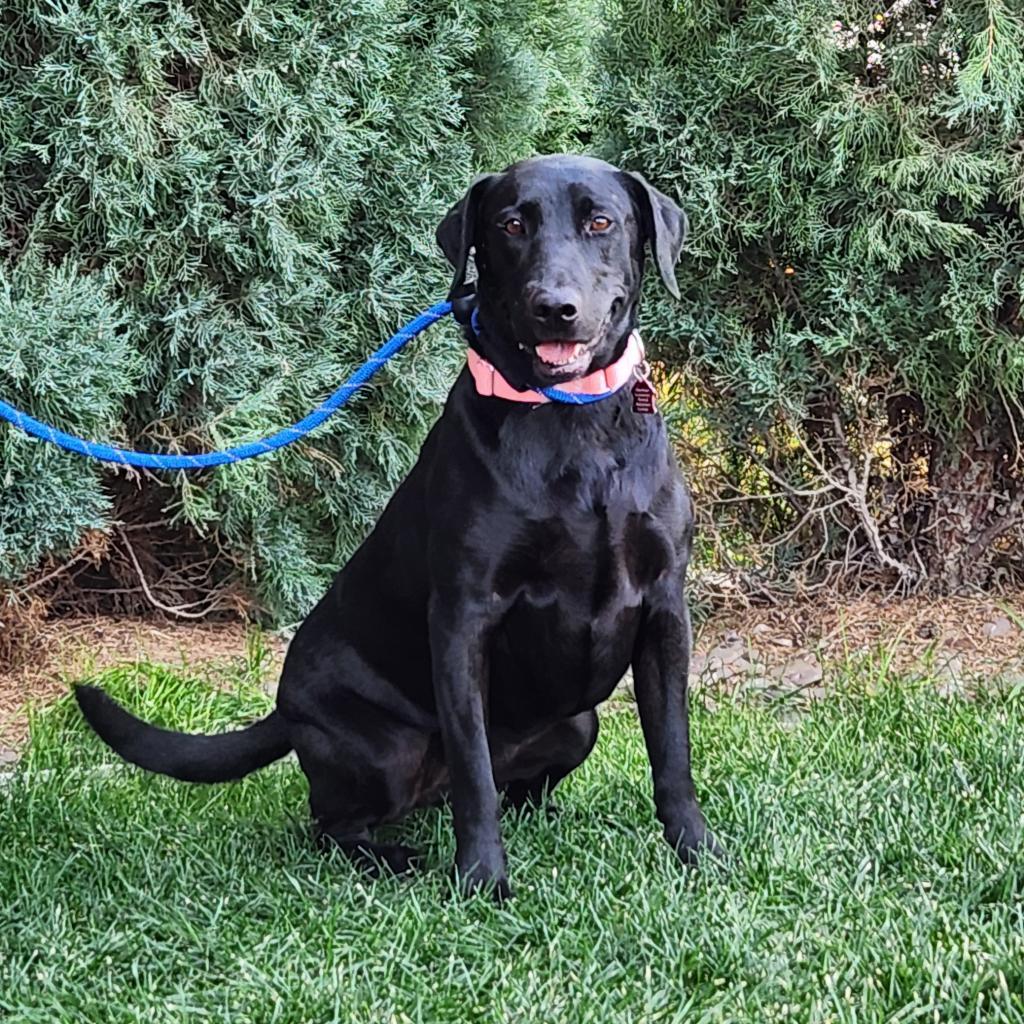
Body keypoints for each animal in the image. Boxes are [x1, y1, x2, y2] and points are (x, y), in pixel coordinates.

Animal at [75, 151, 720, 897]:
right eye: (510, 224)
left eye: (601, 222)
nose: (553, 307)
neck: (573, 421)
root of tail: (285, 713)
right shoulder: (465, 616)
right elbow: (473, 772)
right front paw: (482, 879)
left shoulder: (664, 608)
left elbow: (672, 751)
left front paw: (697, 850)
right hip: (387, 750)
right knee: (335, 825)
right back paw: (396, 858)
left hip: (577, 723)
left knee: (519, 789)